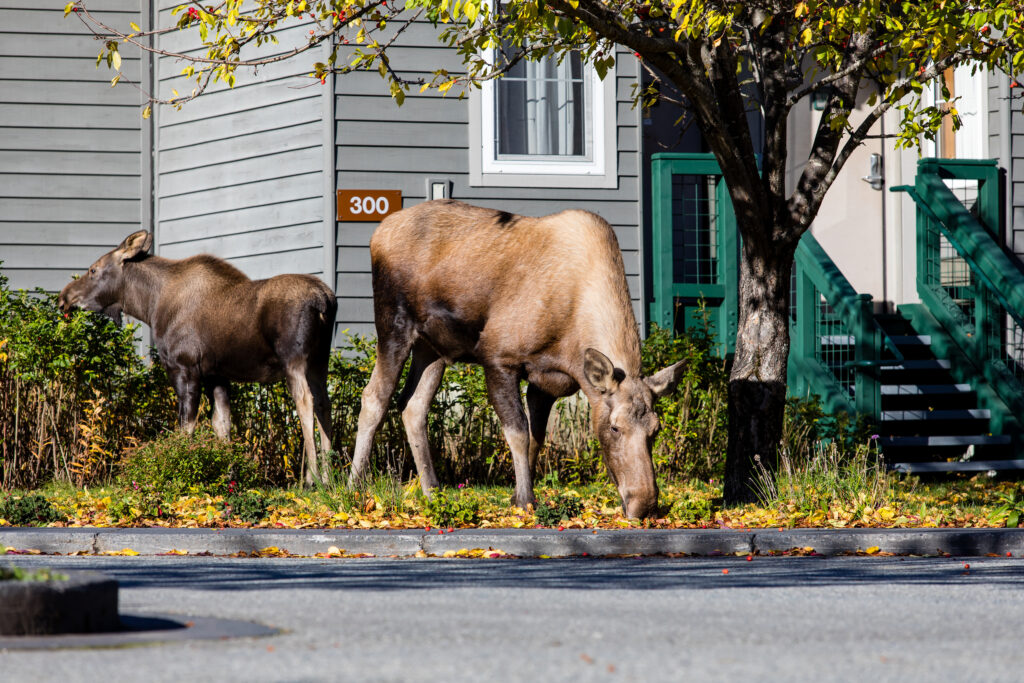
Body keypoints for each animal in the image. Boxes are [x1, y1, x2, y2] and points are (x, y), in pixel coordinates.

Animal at [58, 232, 335, 483]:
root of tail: (324, 300)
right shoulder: (216, 375)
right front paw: (229, 477)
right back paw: (330, 478)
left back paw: (311, 479)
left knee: (305, 402)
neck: (149, 306)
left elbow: (186, 427)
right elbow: (221, 425)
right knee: (324, 403)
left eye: (93, 270)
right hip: (320, 360)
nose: (64, 298)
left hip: (294, 358)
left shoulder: (184, 367)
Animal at [354, 200, 688, 520]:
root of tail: (377, 233)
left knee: (413, 406)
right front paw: (526, 501)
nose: (645, 505)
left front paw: (518, 496)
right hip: (393, 325)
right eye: (615, 427)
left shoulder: (547, 383)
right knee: (374, 397)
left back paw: (432, 492)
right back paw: (354, 486)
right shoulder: (499, 358)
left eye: (655, 430)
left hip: (432, 348)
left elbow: (536, 438)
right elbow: (517, 432)